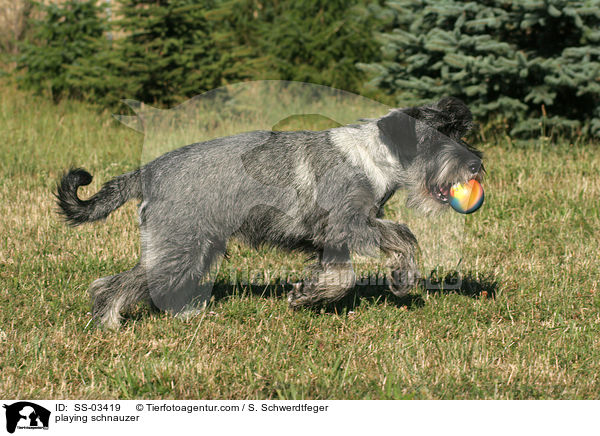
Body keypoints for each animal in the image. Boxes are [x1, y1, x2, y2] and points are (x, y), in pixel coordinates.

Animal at [56, 95, 486, 328]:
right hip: (179, 246)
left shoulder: (336, 239)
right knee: (114, 284)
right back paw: (109, 323)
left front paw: (308, 295)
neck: (374, 156)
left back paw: (188, 316)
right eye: (435, 138)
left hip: (199, 247)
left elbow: (345, 273)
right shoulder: (349, 226)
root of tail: (147, 172)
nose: (475, 165)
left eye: (459, 133)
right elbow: (395, 240)